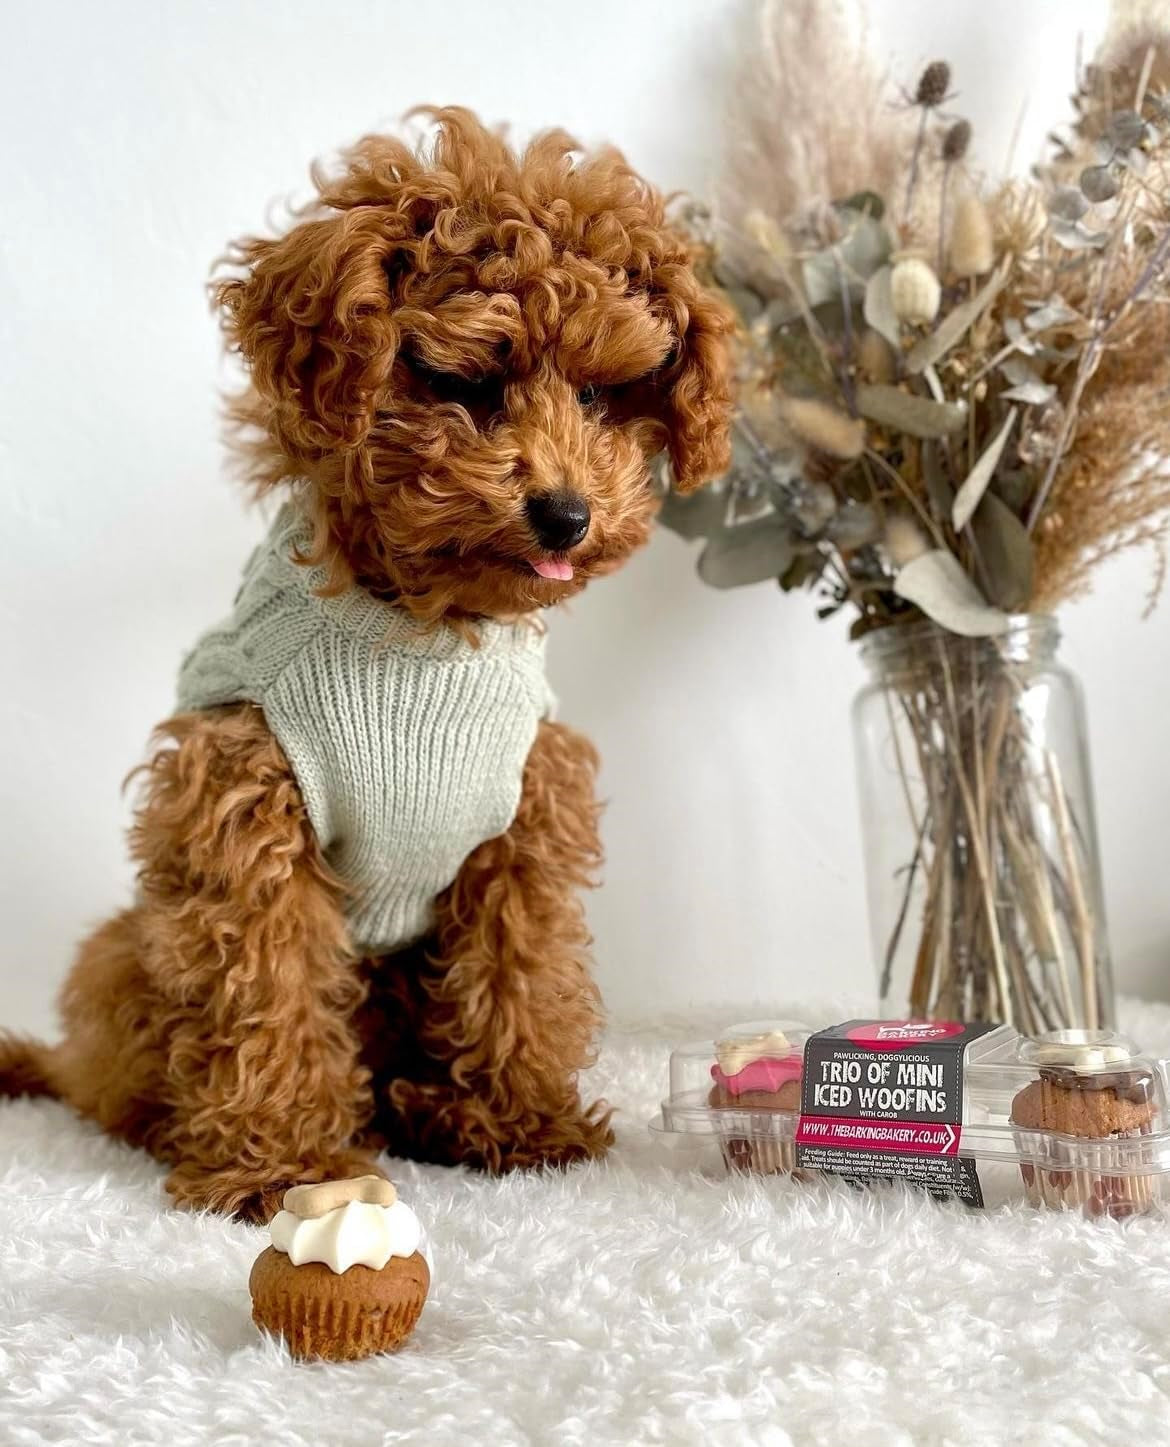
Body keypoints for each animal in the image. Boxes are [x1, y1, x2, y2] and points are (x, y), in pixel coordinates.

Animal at [0, 109, 728, 1221]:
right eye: (465, 381)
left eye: (603, 394)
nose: (566, 512)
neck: (421, 634)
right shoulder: (247, 808)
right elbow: (267, 986)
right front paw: (283, 1166)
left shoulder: (523, 822)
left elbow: (520, 969)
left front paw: (521, 1126)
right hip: (125, 955)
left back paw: (426, 1114)